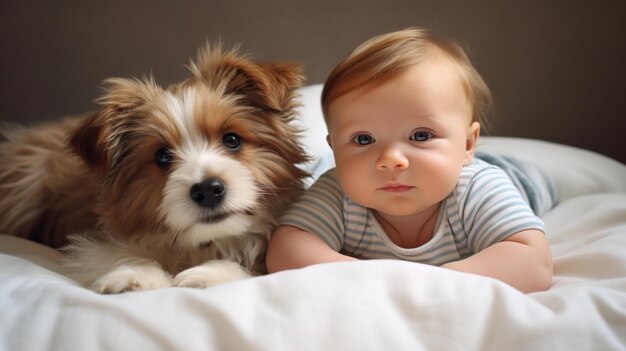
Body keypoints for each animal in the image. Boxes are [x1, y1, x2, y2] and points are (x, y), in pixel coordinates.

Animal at [0, 43, 308, 294]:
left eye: (232, 140)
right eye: (162, 156)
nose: (208, 190)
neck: (204, 242)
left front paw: (208, 274)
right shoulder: (97, 241)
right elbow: (116, 252)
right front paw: (137, 276)